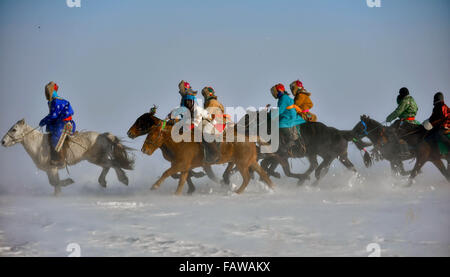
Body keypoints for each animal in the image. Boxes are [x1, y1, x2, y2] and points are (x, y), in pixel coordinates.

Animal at [1, 118, 135, 194]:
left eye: (14, 129)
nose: (2, 141)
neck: (39, 145)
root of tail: (102, 135)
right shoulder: (49, 170)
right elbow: (53, 183)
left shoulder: (53, 169)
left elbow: (55, 183)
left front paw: (67, 184)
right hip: (96, 159)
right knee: (108, 165)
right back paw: (104, 182)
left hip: (96, 158)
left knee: (112, 163)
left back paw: (123, 179)